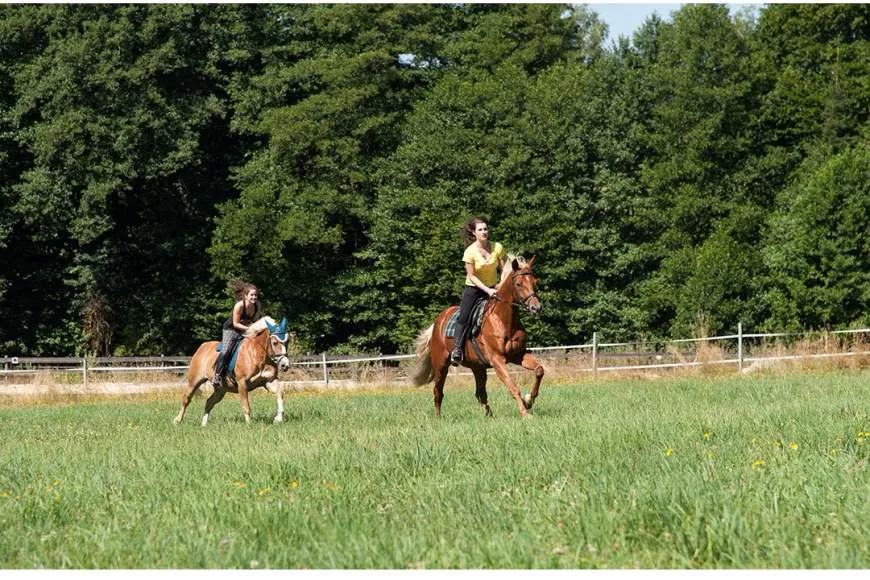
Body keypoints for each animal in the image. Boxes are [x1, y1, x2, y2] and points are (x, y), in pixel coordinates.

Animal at [410, 256, 544, 420]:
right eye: (518, 284)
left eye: (534, 282)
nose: (536, 308)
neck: (503, 319)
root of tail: (438, 321)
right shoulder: (497, 359)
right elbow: (513, 386)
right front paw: (525, 413)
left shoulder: (518, 354)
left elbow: (539, 370)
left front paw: (529, 400)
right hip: (440, 364)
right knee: (438, 391)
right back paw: (438, 417)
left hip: (478, 367)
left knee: (480, 393)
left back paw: (489, 416)